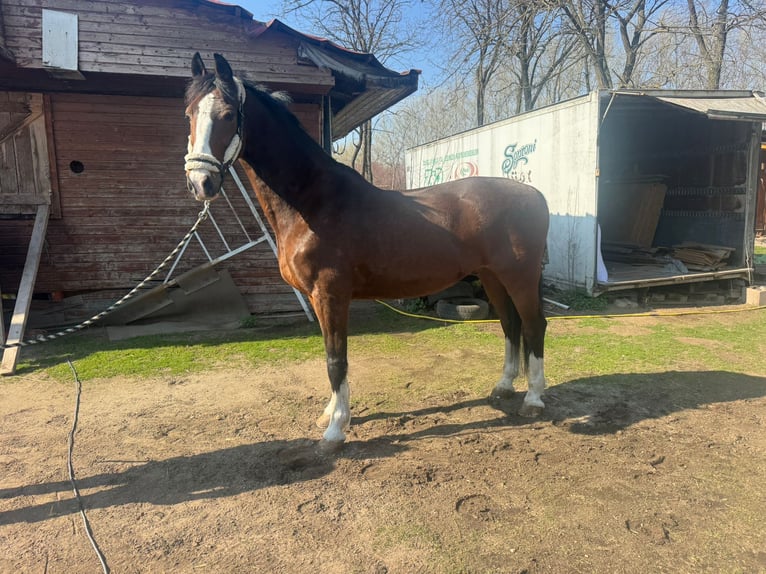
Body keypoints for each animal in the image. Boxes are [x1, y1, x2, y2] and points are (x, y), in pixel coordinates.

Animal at [184, 53, 550, 445]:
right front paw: (330, 414)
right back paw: (504, 387)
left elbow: (336, 359)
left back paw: (533, 399)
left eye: (228, 115)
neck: (313, 202)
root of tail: (534, 194)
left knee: (533, 325)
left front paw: (335, 429)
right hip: (492, 276)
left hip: (519, 276)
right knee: (510, 324)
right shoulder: (318, 297)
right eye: (188, 113)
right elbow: (330, 354)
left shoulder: (330, 294)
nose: (200, 182)